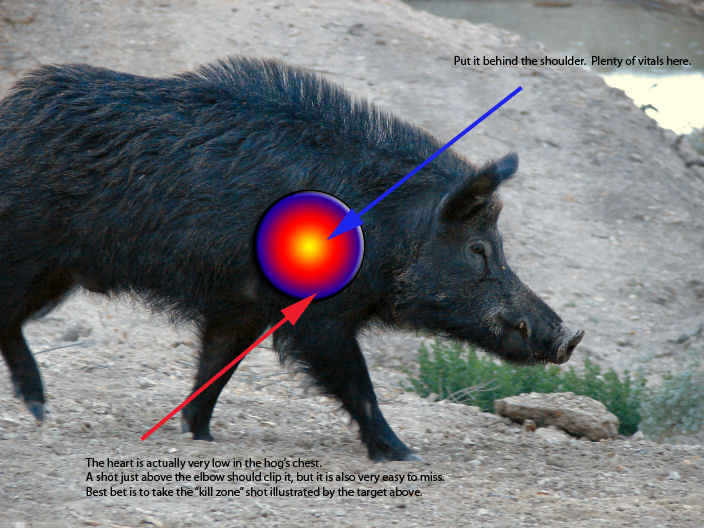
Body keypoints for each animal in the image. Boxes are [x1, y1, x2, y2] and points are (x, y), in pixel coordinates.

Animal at [0, 57, 583, 461]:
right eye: (478, 250)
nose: (569, 335)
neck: (385, 230)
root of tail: (12, 113)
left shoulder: (240, 308)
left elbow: (215, 369)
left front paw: (199, 435)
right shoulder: (317, 319)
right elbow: (357, 383)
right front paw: (405, 455)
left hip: (54, 272)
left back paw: (39, 410)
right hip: (29, 252)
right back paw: (38, 408)